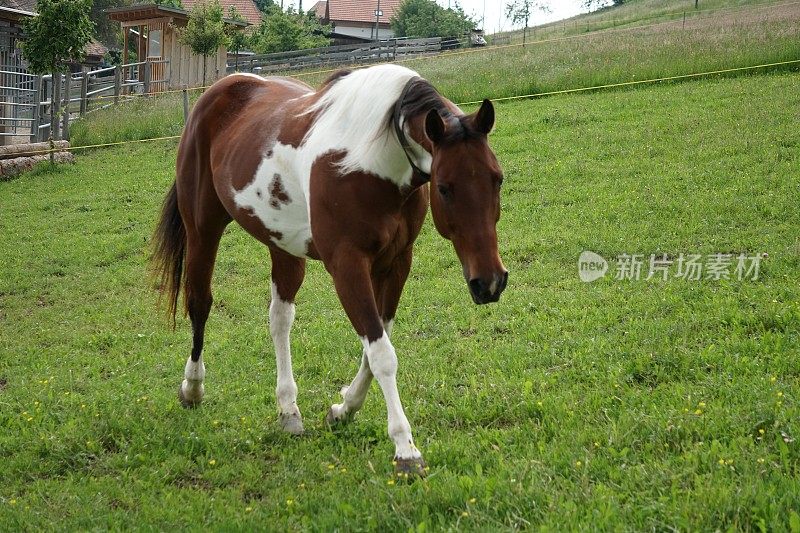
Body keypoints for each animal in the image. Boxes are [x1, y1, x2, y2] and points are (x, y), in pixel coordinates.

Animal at [152, 64, 506, 476]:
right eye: (446, 188)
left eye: (497, 178)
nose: (490, 282)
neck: (375, 159)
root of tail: (220, 90)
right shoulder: (346, 266)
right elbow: (382, 355)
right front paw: (405, 449)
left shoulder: (396, 263)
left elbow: (375, 345)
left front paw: (343, 410)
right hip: (202, 230)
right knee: (199, 303)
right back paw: (192, 388)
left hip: (283, 246)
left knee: (280, 320)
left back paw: (288, 409)